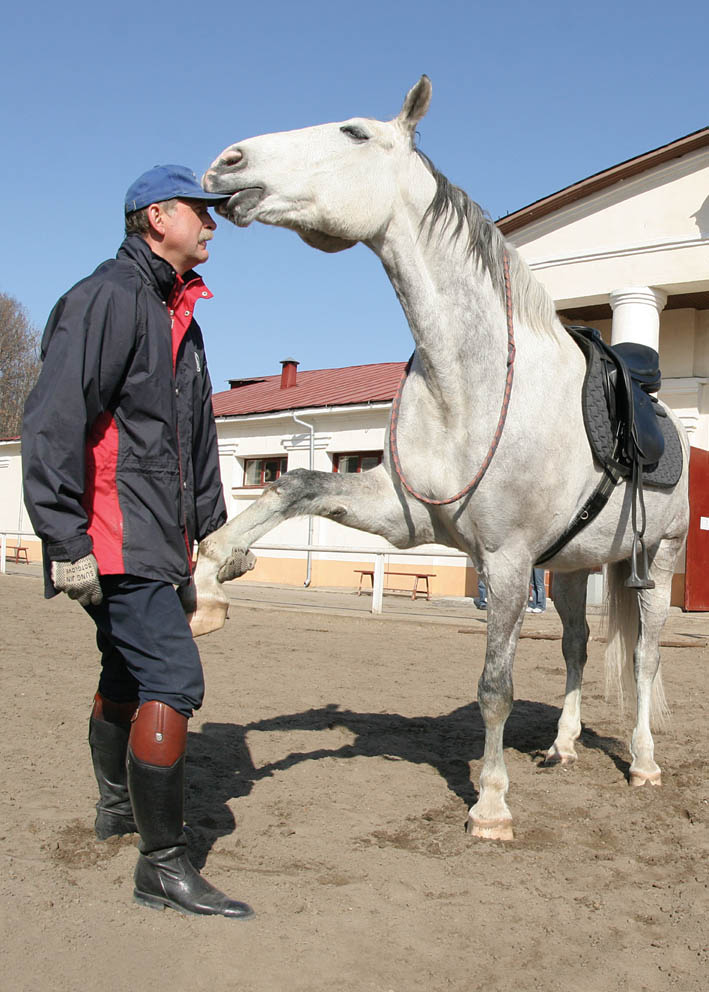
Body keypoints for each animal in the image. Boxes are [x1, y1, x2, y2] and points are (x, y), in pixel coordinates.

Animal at [194, 76, 689, 841]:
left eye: (355, 133)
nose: (227, 163)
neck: (470, 380)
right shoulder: (408, 521)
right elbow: (297, 483)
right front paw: (214, 575)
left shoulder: (509, 563)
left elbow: (495, 687)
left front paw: (490, 806)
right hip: (575, 568)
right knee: (578, 646)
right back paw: (564, 747)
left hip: (654, 565)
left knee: (643, 659)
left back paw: (642, 762)